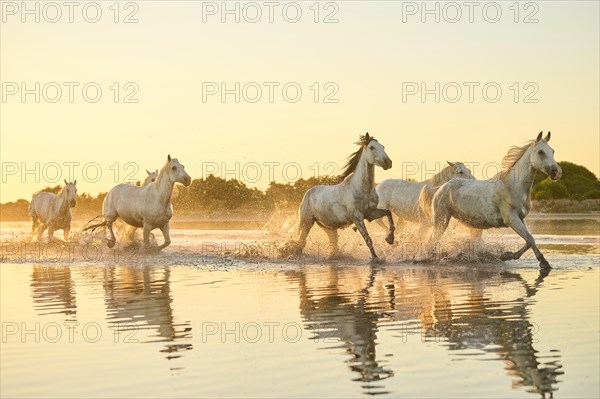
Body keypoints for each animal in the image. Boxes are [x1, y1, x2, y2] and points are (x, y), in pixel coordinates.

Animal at [296, 134, 398, 262]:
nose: (388, 163)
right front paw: (375, 258)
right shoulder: (358, 218)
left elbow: (388, 213)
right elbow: (368, 238)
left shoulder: (370, 214)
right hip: (307, 223)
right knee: (301, 242)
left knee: (333, 244)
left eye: (383, 147)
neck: (362, 188)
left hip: (328, 228)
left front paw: (390, 239)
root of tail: (307, 194)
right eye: (372, 147)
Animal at [426, 134, 564, 268]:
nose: (557, 172)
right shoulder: (511, 219)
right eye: (541, 152)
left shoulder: (520, 218)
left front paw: (506, 255)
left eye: (552, 151)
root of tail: (441, 188)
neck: (512, 187)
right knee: (432, 241)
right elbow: (530, 239)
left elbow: (529, 240)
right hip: (442, 220)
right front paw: (544, 263)